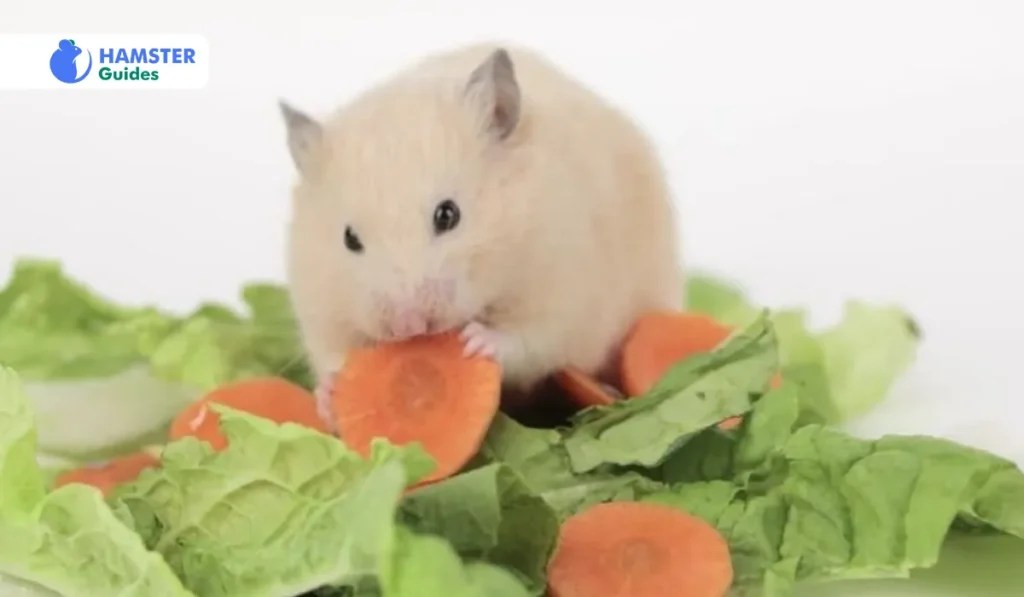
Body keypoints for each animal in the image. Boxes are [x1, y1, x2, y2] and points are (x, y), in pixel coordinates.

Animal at [278, 43, 684, 425]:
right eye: (350, 238)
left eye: (448, 215)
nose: (408, 326)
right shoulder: (320, 315)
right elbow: (331, 356)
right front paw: (330, 394)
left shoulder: (563, 294)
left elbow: (529, 340)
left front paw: (475, 342)